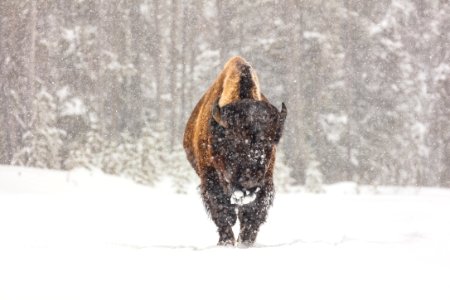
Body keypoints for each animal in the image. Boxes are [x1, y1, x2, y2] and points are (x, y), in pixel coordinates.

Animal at [184, 56, 286, 246]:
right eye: (234, 143)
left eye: (269, 144)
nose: (249, 182)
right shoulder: (209, 178)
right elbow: (222, 211)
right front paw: (226, 242)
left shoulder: (266, 181)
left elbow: (253, 214)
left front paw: (245, 242)